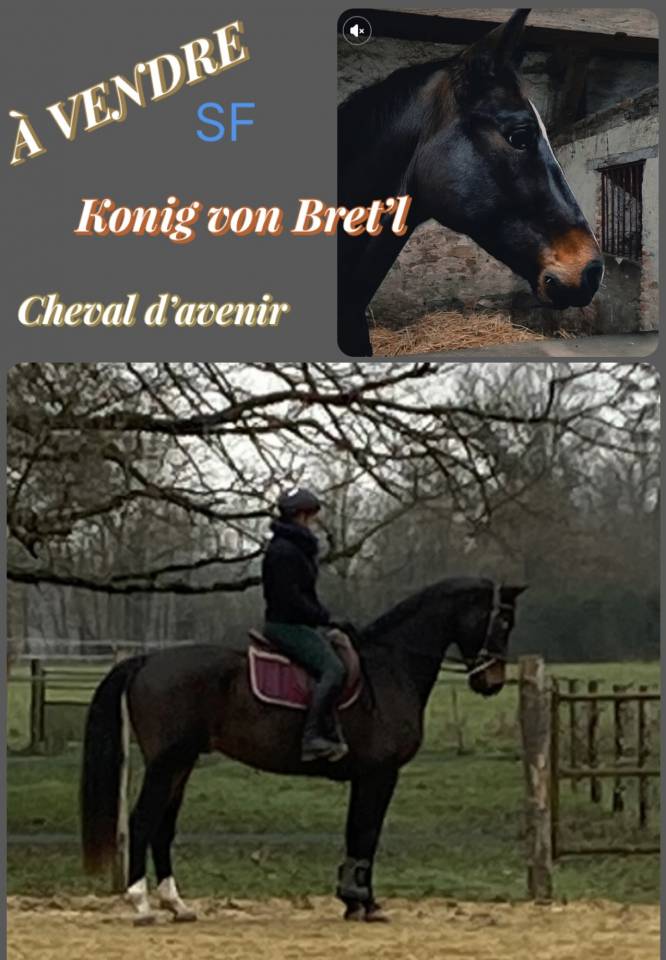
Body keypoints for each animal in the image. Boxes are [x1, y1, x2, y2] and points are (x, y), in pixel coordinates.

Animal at [80, 577, 525, 923]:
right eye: (503, 620)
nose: (492, 682)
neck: (390, 667)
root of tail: (146, 660)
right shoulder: (380, 774)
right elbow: (368, 833)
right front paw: (365, 904)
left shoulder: (365, 777)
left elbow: (356, 832)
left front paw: (352, 901)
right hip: (166, 763)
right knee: (142, 821)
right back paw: (141, 904)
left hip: (181, 764)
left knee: (163, 826)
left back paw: (177, 905)